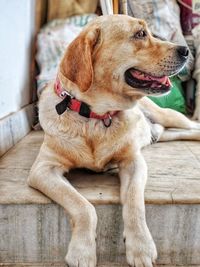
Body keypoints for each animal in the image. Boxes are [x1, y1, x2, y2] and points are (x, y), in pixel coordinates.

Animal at [28, 15, 200, 267]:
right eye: (140, 34)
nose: (186, 50)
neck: (95, 116)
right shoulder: (43, 169)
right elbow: (83, 206)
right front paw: (82, 250)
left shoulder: (133, 161)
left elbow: (134, 201)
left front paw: (141, 247)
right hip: (165, 133)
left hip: (169, 116)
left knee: (192, 127)